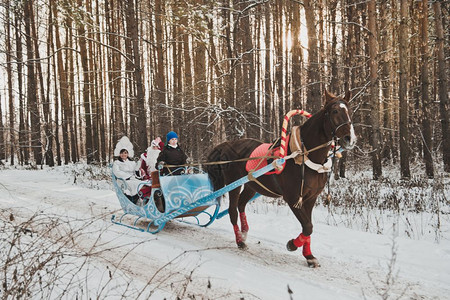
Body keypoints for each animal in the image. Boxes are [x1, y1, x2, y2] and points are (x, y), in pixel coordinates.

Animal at [206, 89, 356, 268]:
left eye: (349, 110)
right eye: (334, 111)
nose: (349, 138)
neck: (303, 155)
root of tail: (227, 145)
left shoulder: (310, 198)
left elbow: (308, 226)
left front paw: (309, 255)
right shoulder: (292, 198)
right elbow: (308, 226)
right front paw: (292, 244)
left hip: (251, 185)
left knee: (241, 204)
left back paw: (244, 232)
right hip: (233, 184)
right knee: (232, 210)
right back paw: (240, 241)